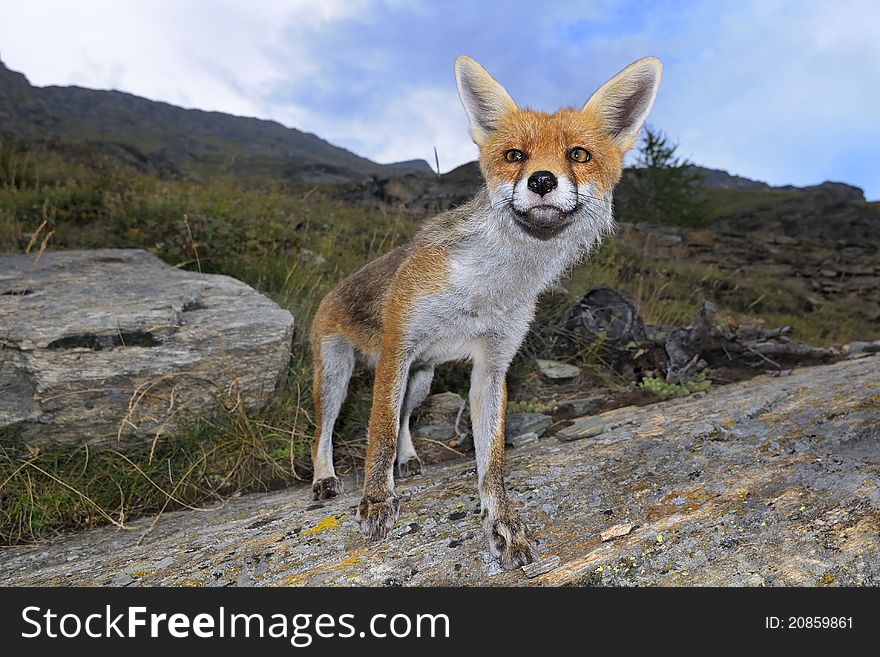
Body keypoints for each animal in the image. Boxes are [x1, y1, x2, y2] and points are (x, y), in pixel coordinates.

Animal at [310, 55, 660, 568]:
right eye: (515, 156)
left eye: (578, 155)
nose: (541, 180)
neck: (487, 287)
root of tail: (332, 290)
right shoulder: (397, 346)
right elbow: (378, 435)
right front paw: (376, 501)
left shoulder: (492, 367)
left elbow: (490, 461)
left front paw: (501, 525)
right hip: (339, 377)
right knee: (326, 429)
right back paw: (324, 479)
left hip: (421, 381)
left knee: (405, 421)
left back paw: (409, 460)